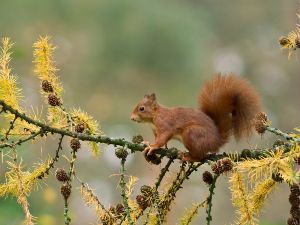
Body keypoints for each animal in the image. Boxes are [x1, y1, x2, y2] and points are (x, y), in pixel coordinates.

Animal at [130, 74, 262, 162]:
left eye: (141, 108)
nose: (131, 118)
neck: (154, 117)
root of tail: (217, 141)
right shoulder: (155, 131)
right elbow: (158, 139)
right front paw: (147, 142)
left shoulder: (165, 125)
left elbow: (162, 139)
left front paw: (152, 146)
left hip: (192, 133)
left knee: (200, 157)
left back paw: (188, 157)